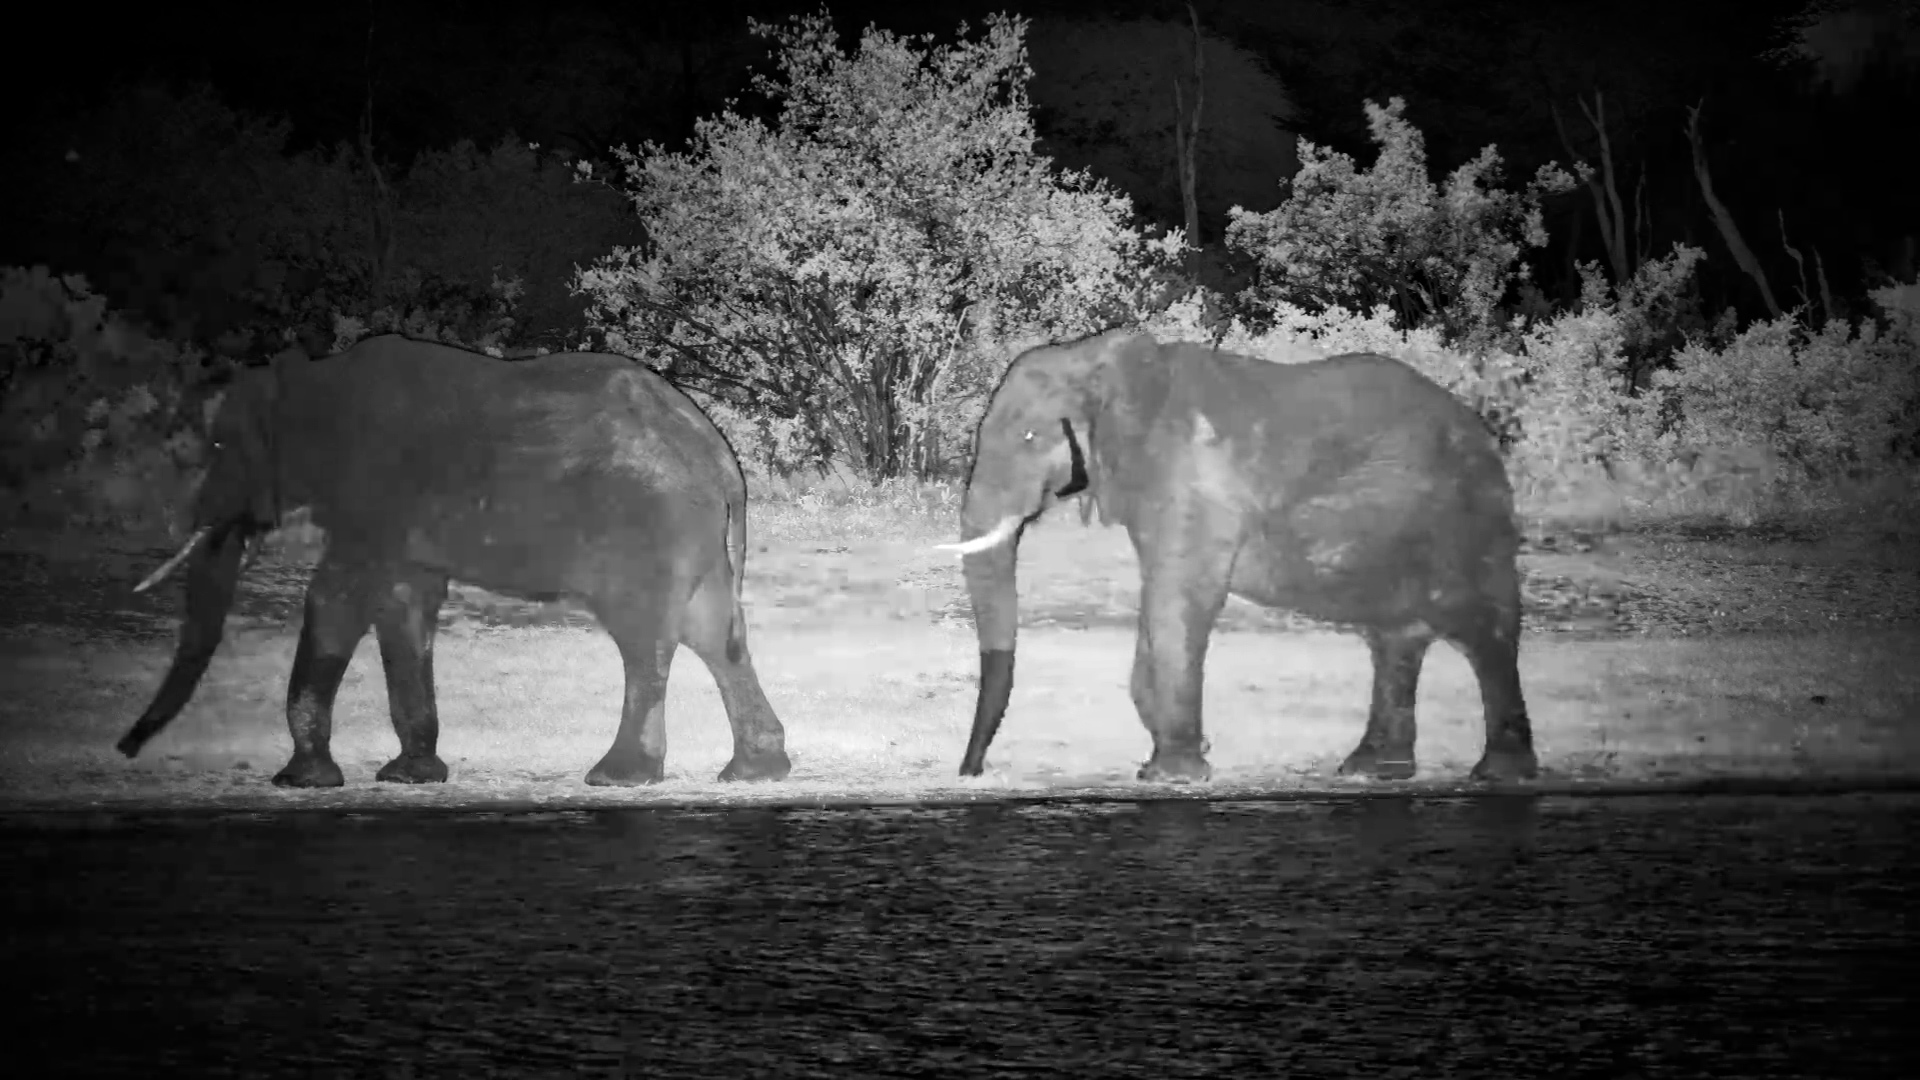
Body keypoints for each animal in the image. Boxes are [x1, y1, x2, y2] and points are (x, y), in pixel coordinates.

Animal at [118, 334, 792, 788]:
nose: (125, 748)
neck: (312, 377)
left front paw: (299, 782)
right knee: (712, 635)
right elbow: (403, 604)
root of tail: (718, 455)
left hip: (647, 525)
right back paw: (753, 772)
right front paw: (410, 776)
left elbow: (337, 598)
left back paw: (617, 777)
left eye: (220, 444)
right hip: (687, 529)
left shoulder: (374, 493)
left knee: (645, 639)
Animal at [941, 329, 1538, 784]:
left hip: (1466, 522)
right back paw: (1371, 771)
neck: (1103, 362)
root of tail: (1486, 436)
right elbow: (1162, 605)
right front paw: (1179, 757)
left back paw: (1498, 774)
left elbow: (1180, 601)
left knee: (1483, 629)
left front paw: (1172, 774)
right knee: (1397, 637)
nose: (970, 774)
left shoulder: (1189, 478)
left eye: (1029, 436)